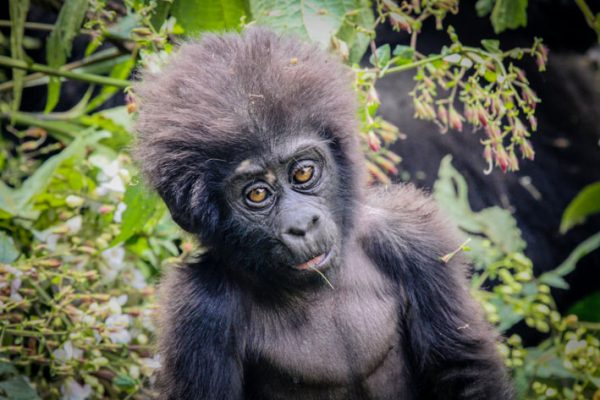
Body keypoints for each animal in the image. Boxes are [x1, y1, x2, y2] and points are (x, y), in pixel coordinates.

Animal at [136, 28, 516, 400]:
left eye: (303, 173)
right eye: (257, 194)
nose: (302, 226)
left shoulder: (413, 238)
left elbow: (463, 370)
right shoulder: (200, 309)